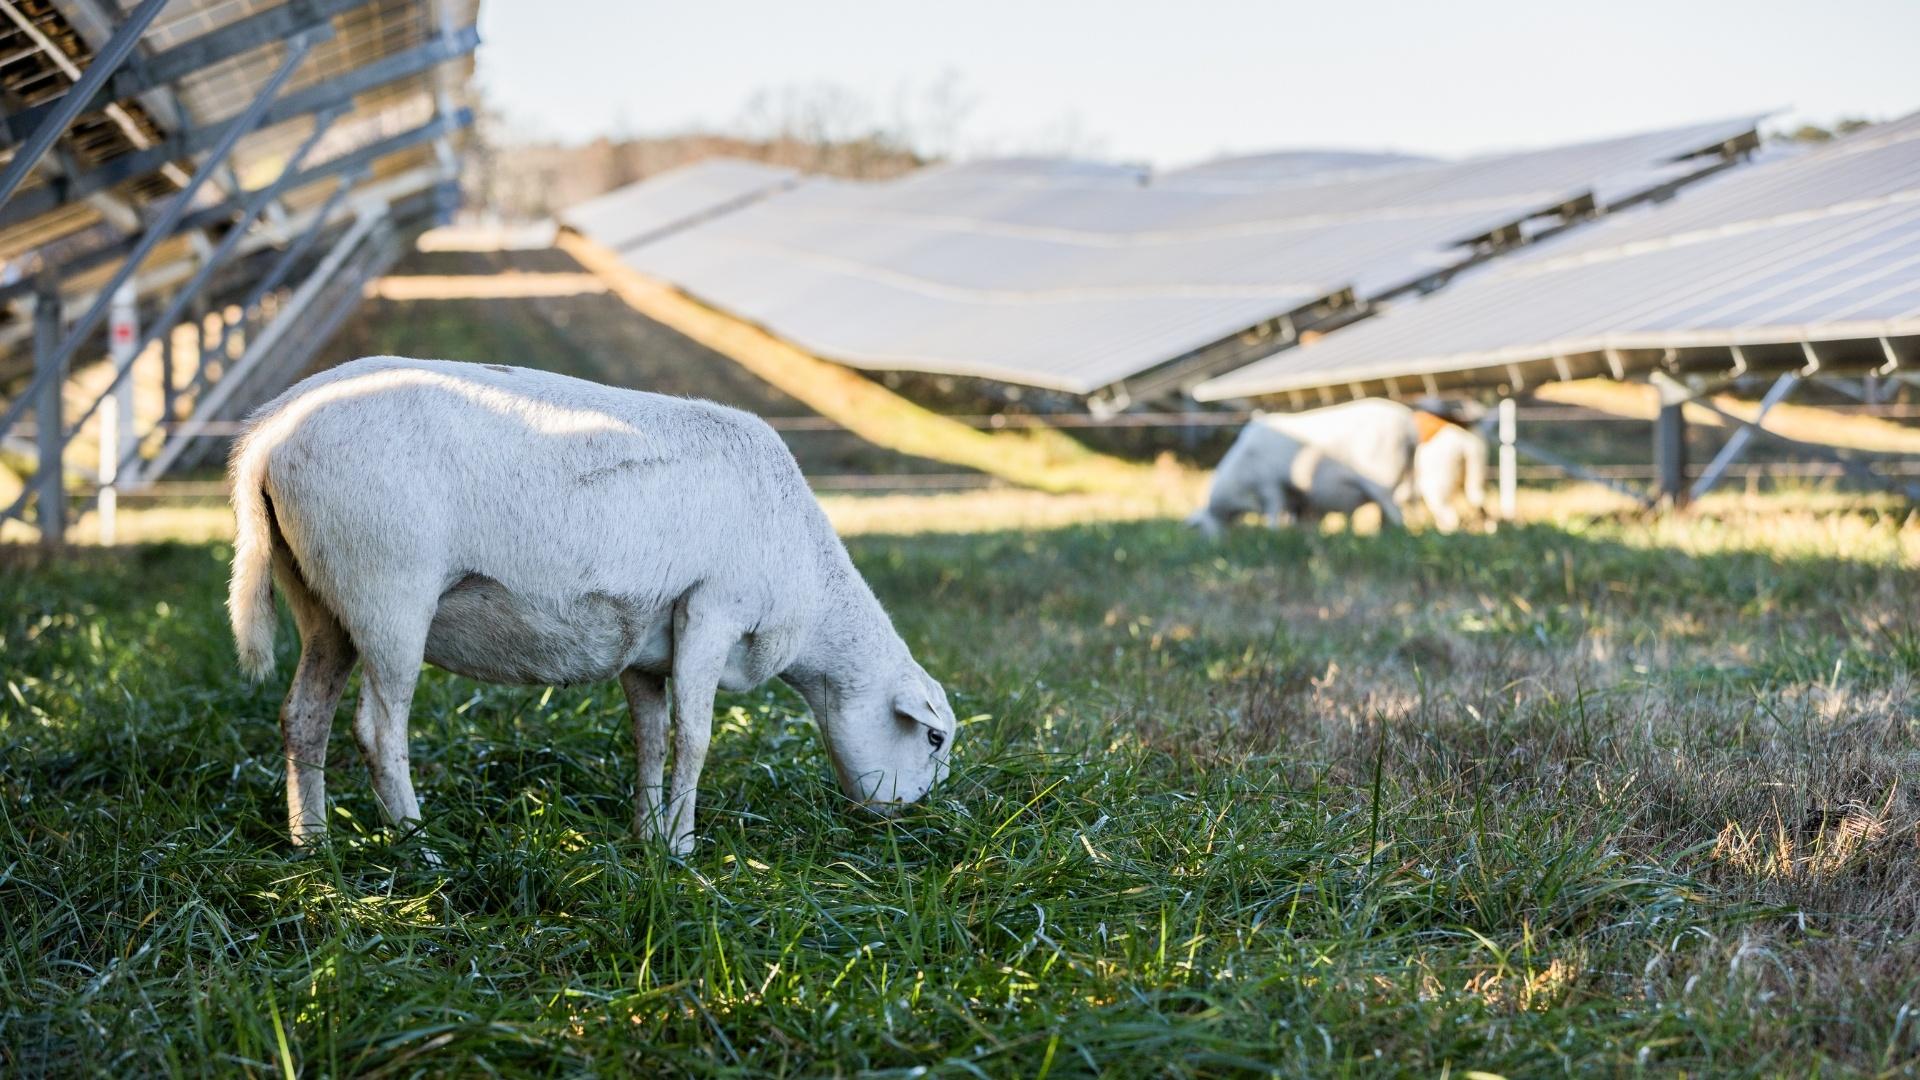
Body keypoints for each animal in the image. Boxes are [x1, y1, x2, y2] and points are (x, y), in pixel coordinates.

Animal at [228, 357, 956, 853]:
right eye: (934, 737)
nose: (908, 822)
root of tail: (270, 433)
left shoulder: (647, 646)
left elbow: (650, 740)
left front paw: (646, 837)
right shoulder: (712, 611)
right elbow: (695, 738)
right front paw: (683, 848)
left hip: (323, 601)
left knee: (304, 717)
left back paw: (313, 843)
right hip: (388, 590)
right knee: (378, 730)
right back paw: (417, 844)